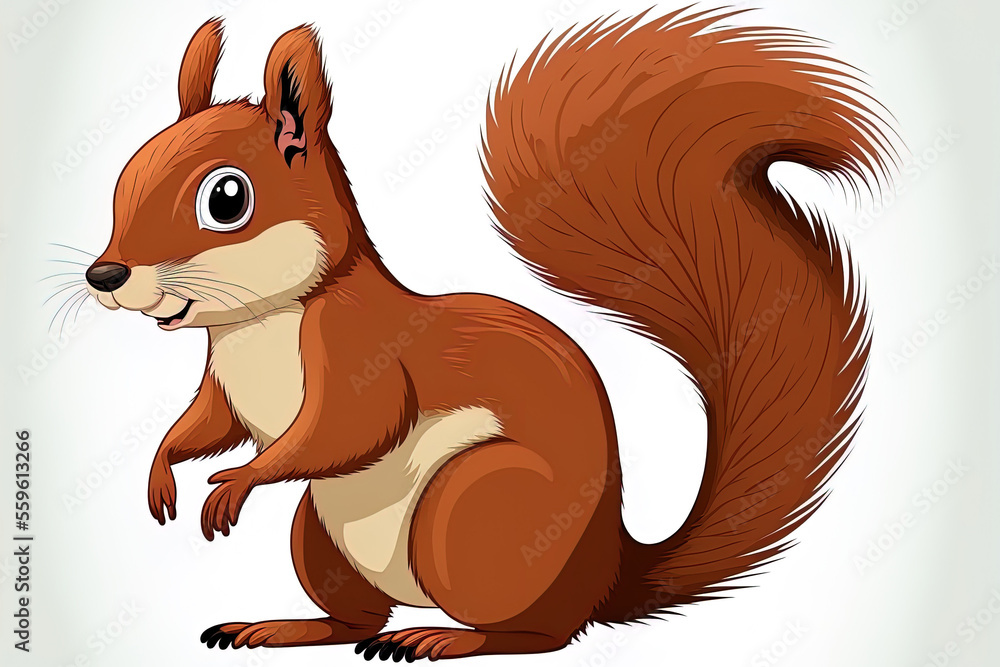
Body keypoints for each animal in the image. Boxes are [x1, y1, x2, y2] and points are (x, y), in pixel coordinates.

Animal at [83, 8, 891, 662]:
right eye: (125, 174)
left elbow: (349, 428)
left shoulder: (362, 355)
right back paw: (284, 627)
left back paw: (443, 638)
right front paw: (162, 471)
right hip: (319, 534)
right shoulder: (221, 384)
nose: (104, 274)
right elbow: (206, 425)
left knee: (541, 635)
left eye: (227, 198)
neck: (260, 325)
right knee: (354, 617)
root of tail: (606, 574)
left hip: (474, 508)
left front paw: (236, 484)